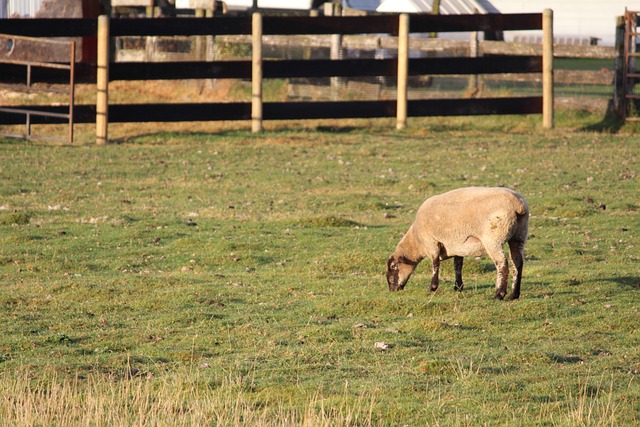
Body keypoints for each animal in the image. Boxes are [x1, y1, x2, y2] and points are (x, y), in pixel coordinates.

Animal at [384, 187, 528, 300]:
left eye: (392, 267)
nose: (392, 290)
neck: (417, 241)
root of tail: (518, 204)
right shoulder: (458, 245)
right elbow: (457, 265)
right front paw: (458, 286)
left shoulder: (432, 242)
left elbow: (435, 264)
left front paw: (432, 287)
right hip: (519, 236)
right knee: (517, 263)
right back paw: (514, 295)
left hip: (493, 239)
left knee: (502, 265)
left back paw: (499, 294)